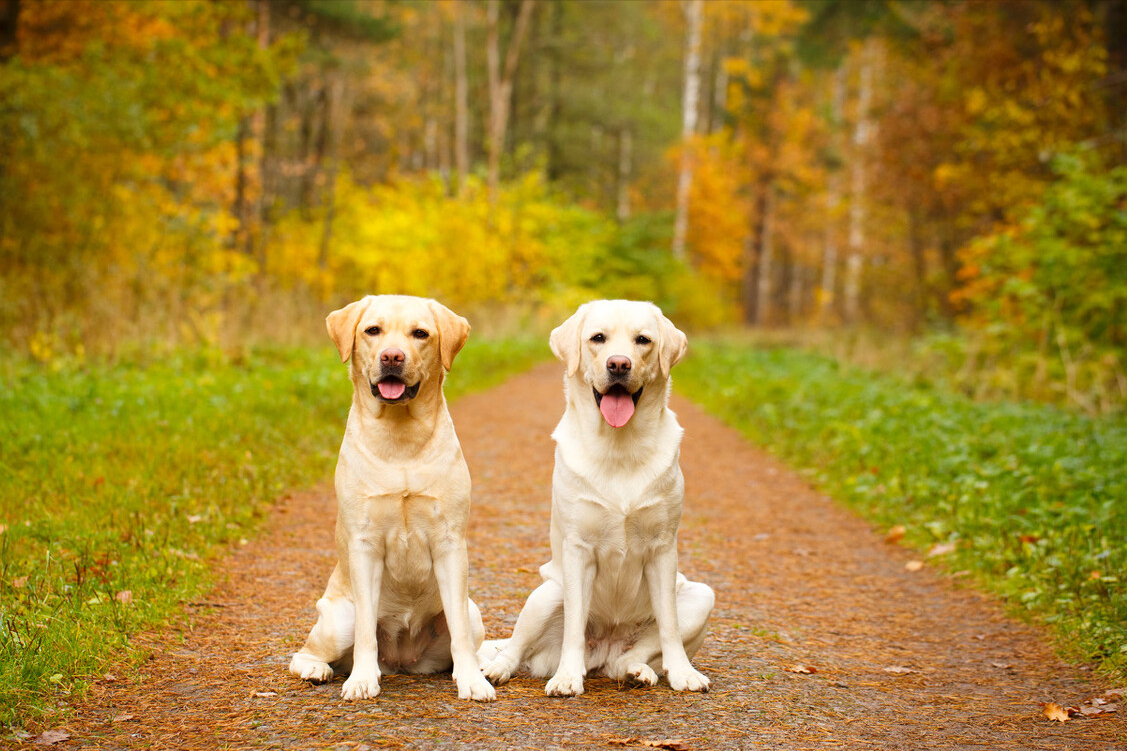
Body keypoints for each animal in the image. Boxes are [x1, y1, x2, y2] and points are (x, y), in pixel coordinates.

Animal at [293, 293, 495, 703]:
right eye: (373, 330)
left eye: (420, 334)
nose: (391, 357)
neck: (401, 438)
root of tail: (403, 659)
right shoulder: (364, 545)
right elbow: (366, 633)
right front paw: (361, 680)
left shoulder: (450, 544)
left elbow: (460, 637)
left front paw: (471, 681)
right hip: (338, 620)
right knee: (305, 653)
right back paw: (318, 669)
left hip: (472, 611)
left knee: (466, 637)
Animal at [477, 299, 707, 694]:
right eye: (598, 338)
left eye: (643, 340)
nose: (619, 364)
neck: (620, 447)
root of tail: (603, 651)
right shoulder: (577, 549)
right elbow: (574, 626)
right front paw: (567, 677)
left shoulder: (663, 549)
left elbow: (670, 626)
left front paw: (683, 673)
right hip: (545, 594)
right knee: (515, 648)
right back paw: (497, 670)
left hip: (701, 596)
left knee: (630, 656)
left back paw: (636, 672)